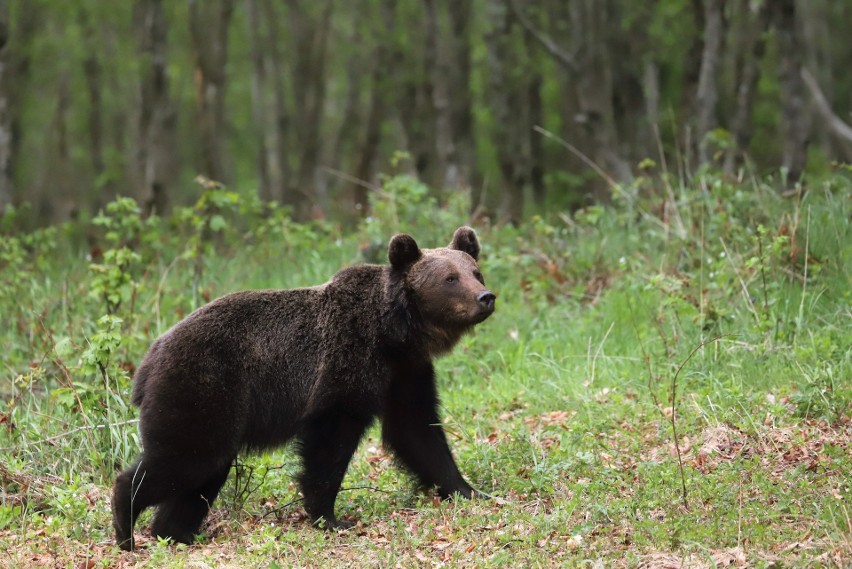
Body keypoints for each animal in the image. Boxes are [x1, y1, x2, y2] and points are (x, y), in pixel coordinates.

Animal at [113, 226, 500, 552]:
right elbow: (330, 439)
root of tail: (148, 359)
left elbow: (418, 432)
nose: (486, 296)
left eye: (475, 271)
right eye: (450, 278)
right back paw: (126, 523)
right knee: (186, 457)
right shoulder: (346, 362)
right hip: (203, 386)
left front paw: (469, 490)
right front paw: (330, 517)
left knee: (203, 473)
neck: (395, 333)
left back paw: (177, 532)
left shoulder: (405, 373)